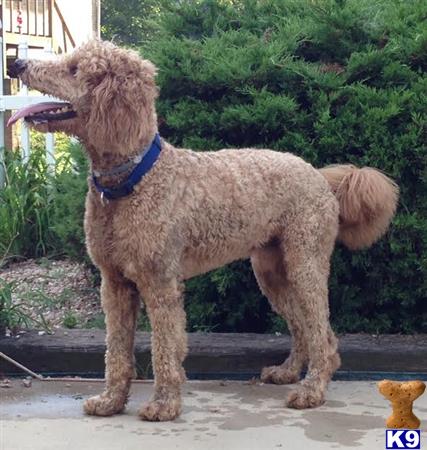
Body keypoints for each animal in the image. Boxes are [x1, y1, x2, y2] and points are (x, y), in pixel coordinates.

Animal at [8, 39, 400, 422]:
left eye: (74, 68)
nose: (16, 64)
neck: (135, 180)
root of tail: (319, 176)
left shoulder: (160, 283)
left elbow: (165, 347)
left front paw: (164, 405)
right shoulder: (115, 284)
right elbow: (116, 351)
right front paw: (111, 401)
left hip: (305, 262)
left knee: (322, 332)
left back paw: (312, 389)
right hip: (273, 272)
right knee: (305, 326)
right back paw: (288, 372)